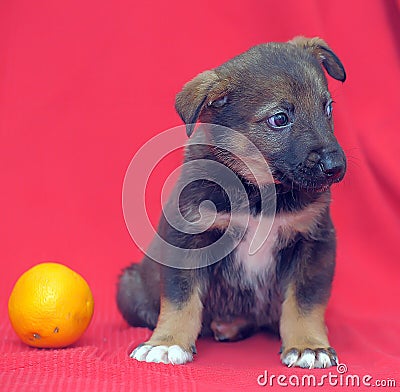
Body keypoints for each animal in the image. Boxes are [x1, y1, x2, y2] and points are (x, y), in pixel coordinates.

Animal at [116, 36, 346, 368]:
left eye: (327, 107)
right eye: (279, 119)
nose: (335, 167)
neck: (259, 195)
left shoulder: (313, 242)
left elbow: (304, 302)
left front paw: (309, 346)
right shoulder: (188, 238)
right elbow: (180, 298)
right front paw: (167, 342)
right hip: (128, 286)